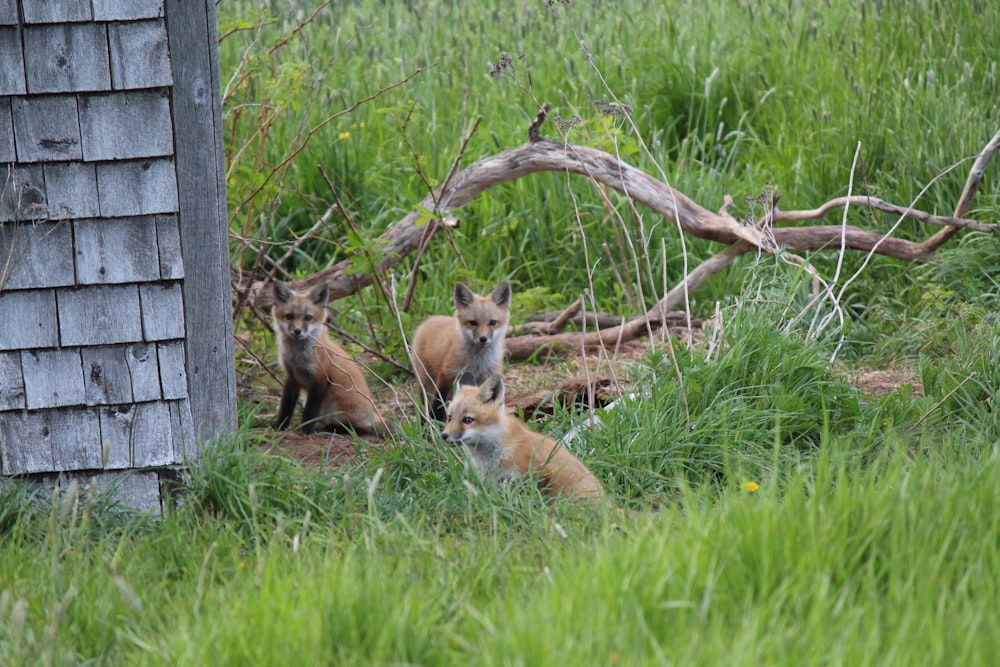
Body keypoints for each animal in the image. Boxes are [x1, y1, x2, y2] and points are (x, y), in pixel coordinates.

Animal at [272, 280, 384, 436]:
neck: (297, 356)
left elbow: (310, 409)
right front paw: (280, 425)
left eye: (308, 318)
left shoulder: (320, 377)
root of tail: (371, 415)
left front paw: (306, 430)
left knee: (357, 429)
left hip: (336, 407)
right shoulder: (291, 376)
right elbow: (286, 406)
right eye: (289, 316)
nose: (297, 331)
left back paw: (331, 428)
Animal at [410, 280, 512, 418]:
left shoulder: (486, 377)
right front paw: (435, 420)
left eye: (493, 322)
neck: (477, 363)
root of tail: (430, 319)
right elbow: (438, 403)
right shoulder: (446, 374)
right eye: (473, 322)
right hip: (425, 380)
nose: (483, 339)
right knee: (425, 401)